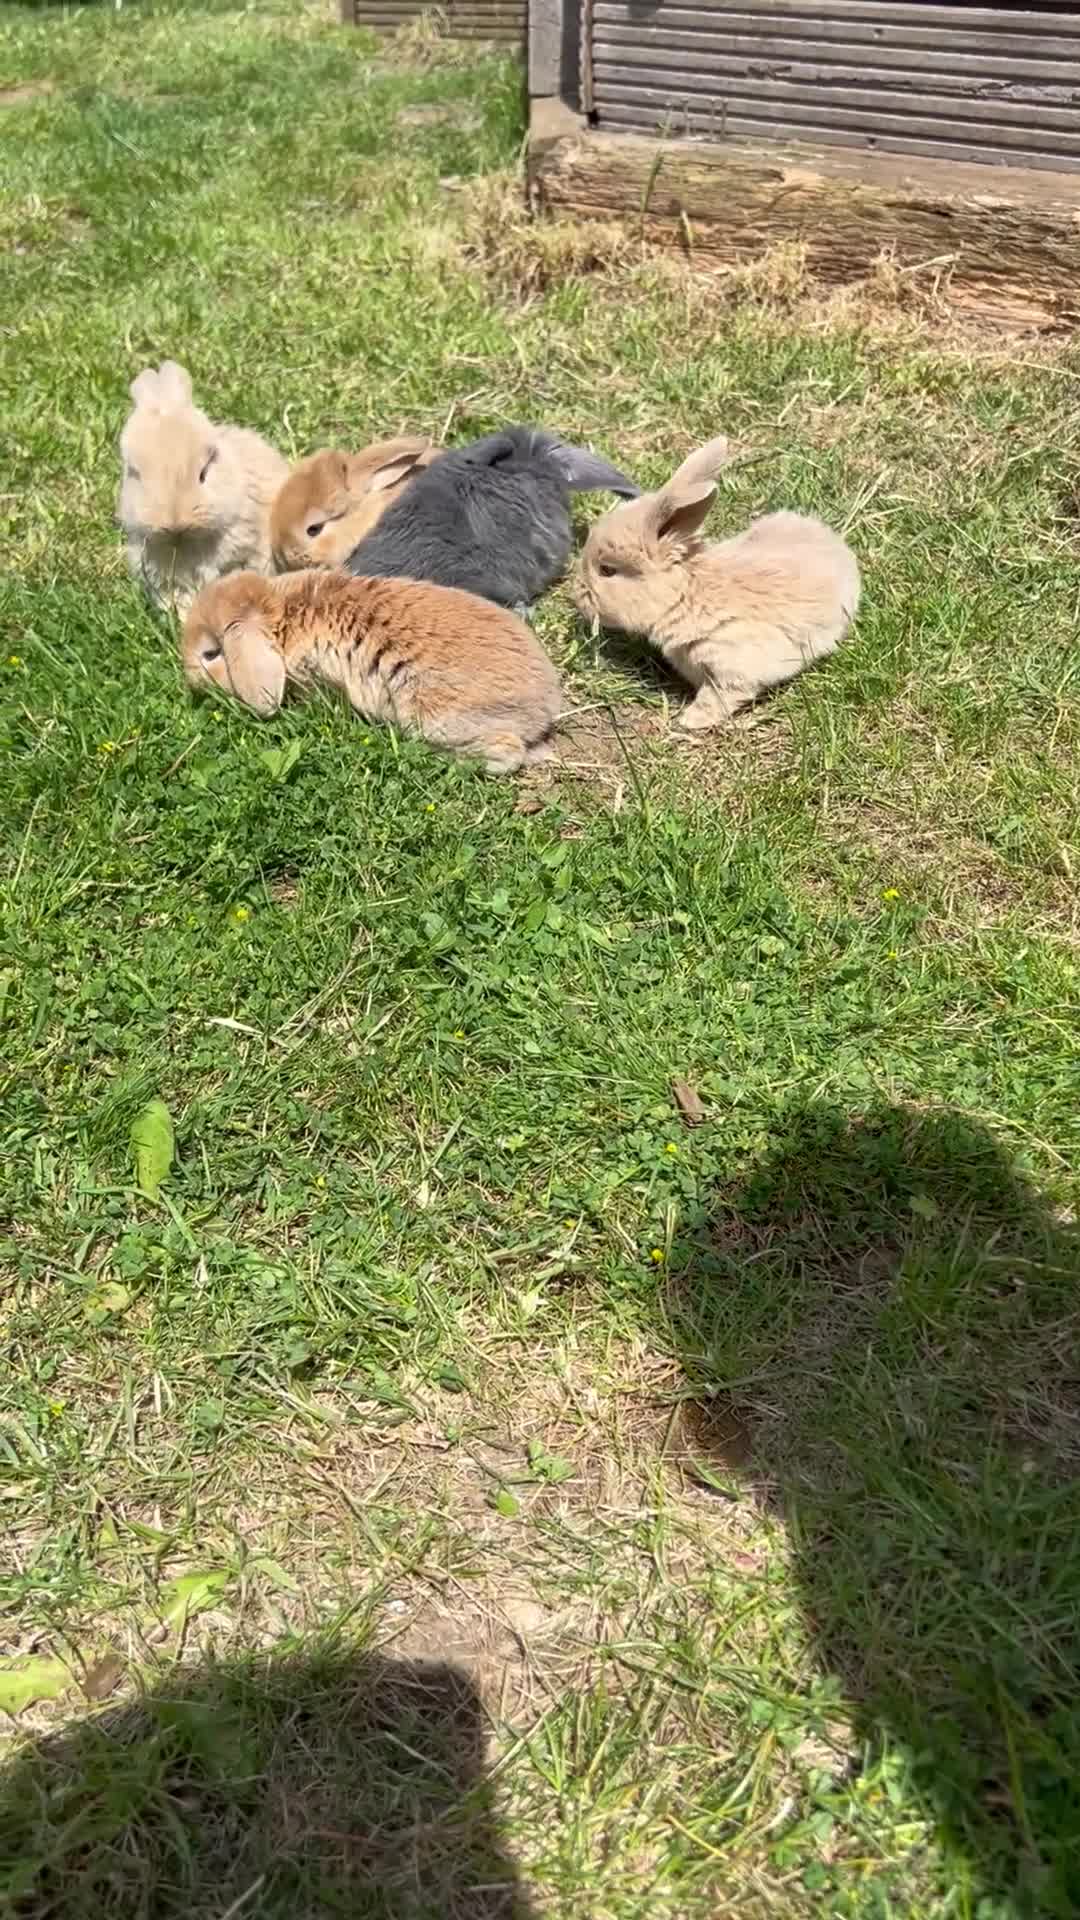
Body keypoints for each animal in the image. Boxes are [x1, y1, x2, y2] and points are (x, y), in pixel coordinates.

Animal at [181, 568, 563, 775]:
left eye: (211, 654)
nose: (190, 680)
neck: (282, 617)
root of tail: (544, 707)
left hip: (434, 718)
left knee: (507, 752)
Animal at [576, 436, 860, 729]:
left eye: (607, 570)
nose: (577, 597)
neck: (687, 595)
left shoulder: (733, 666)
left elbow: (718, 696)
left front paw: (689, 720)